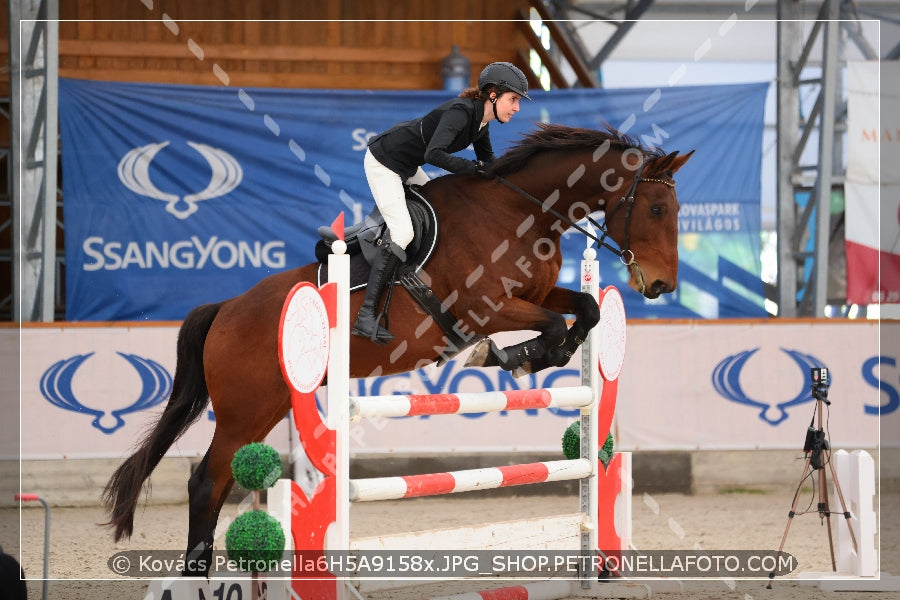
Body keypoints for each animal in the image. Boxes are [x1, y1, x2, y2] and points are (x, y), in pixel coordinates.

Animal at [102, 120, 692, 572]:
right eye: (656, 209)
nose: (662, 285)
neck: (520, 211)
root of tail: (226, 308)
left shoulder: (536, 293)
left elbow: (586, 309)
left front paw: (542, 357)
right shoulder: (485, 307)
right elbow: (546, 326)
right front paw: (506, 356)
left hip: (267, 405)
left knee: (220, 480)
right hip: (246, 408)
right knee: (207, 481)